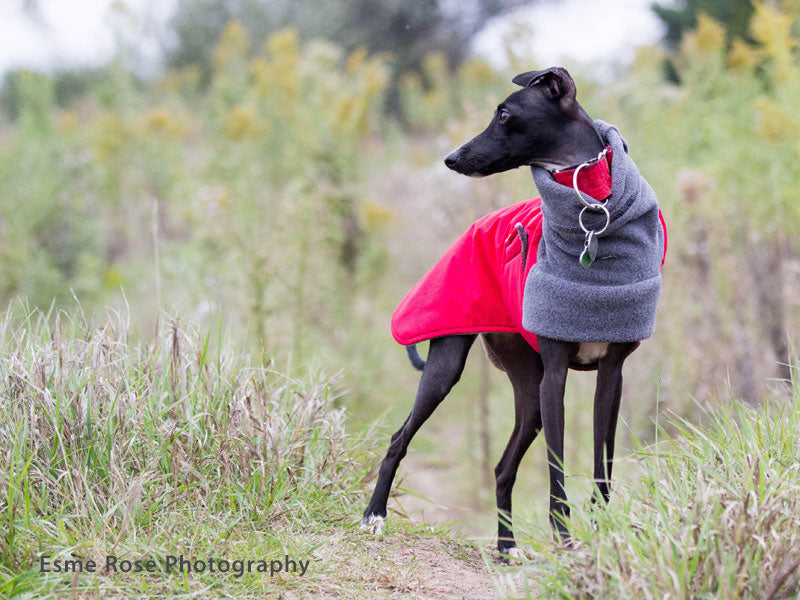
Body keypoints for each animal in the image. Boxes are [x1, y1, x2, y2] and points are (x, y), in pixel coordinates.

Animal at [362, 69, 644, 556]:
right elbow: (556, 468)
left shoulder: (612, 374)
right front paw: (565, 538)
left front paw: (602, 532)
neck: (590, 206)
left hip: (528, 391)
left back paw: (507, 546)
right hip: (449, 368)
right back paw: (375, 515)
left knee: (501, 466)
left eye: (506, 114)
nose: (451, 158)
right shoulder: (556, 375)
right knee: (400, 438)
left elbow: (602, 464)